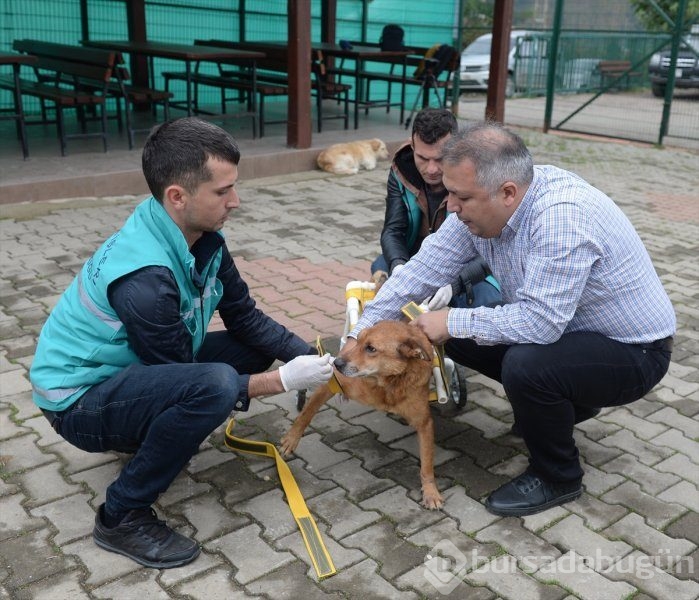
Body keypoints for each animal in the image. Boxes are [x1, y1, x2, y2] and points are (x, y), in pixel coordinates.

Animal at [278, 322, 442, 508]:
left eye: (371, 348)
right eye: (358, 340)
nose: (336, 363)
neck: (386, 385)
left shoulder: (424, 422)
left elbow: (427, 464)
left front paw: (430, 491)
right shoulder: (332, 383)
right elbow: (307, 413)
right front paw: (291, 439)